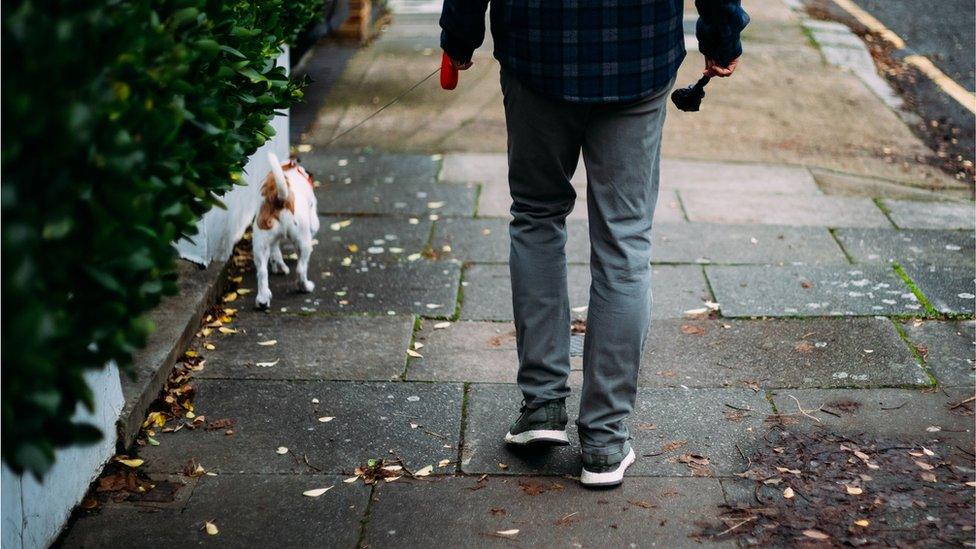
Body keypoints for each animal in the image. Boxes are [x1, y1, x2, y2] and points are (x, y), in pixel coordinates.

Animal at [252, 152, 320, 308]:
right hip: (303, 241)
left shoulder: (272, 241)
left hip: (260, 243)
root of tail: (279, 198)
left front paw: (278, 266)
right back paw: (305, 287)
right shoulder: (313, 221)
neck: (288, 168)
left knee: (262, 272)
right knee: (301, 269)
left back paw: (263, 300)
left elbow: (275, 252)